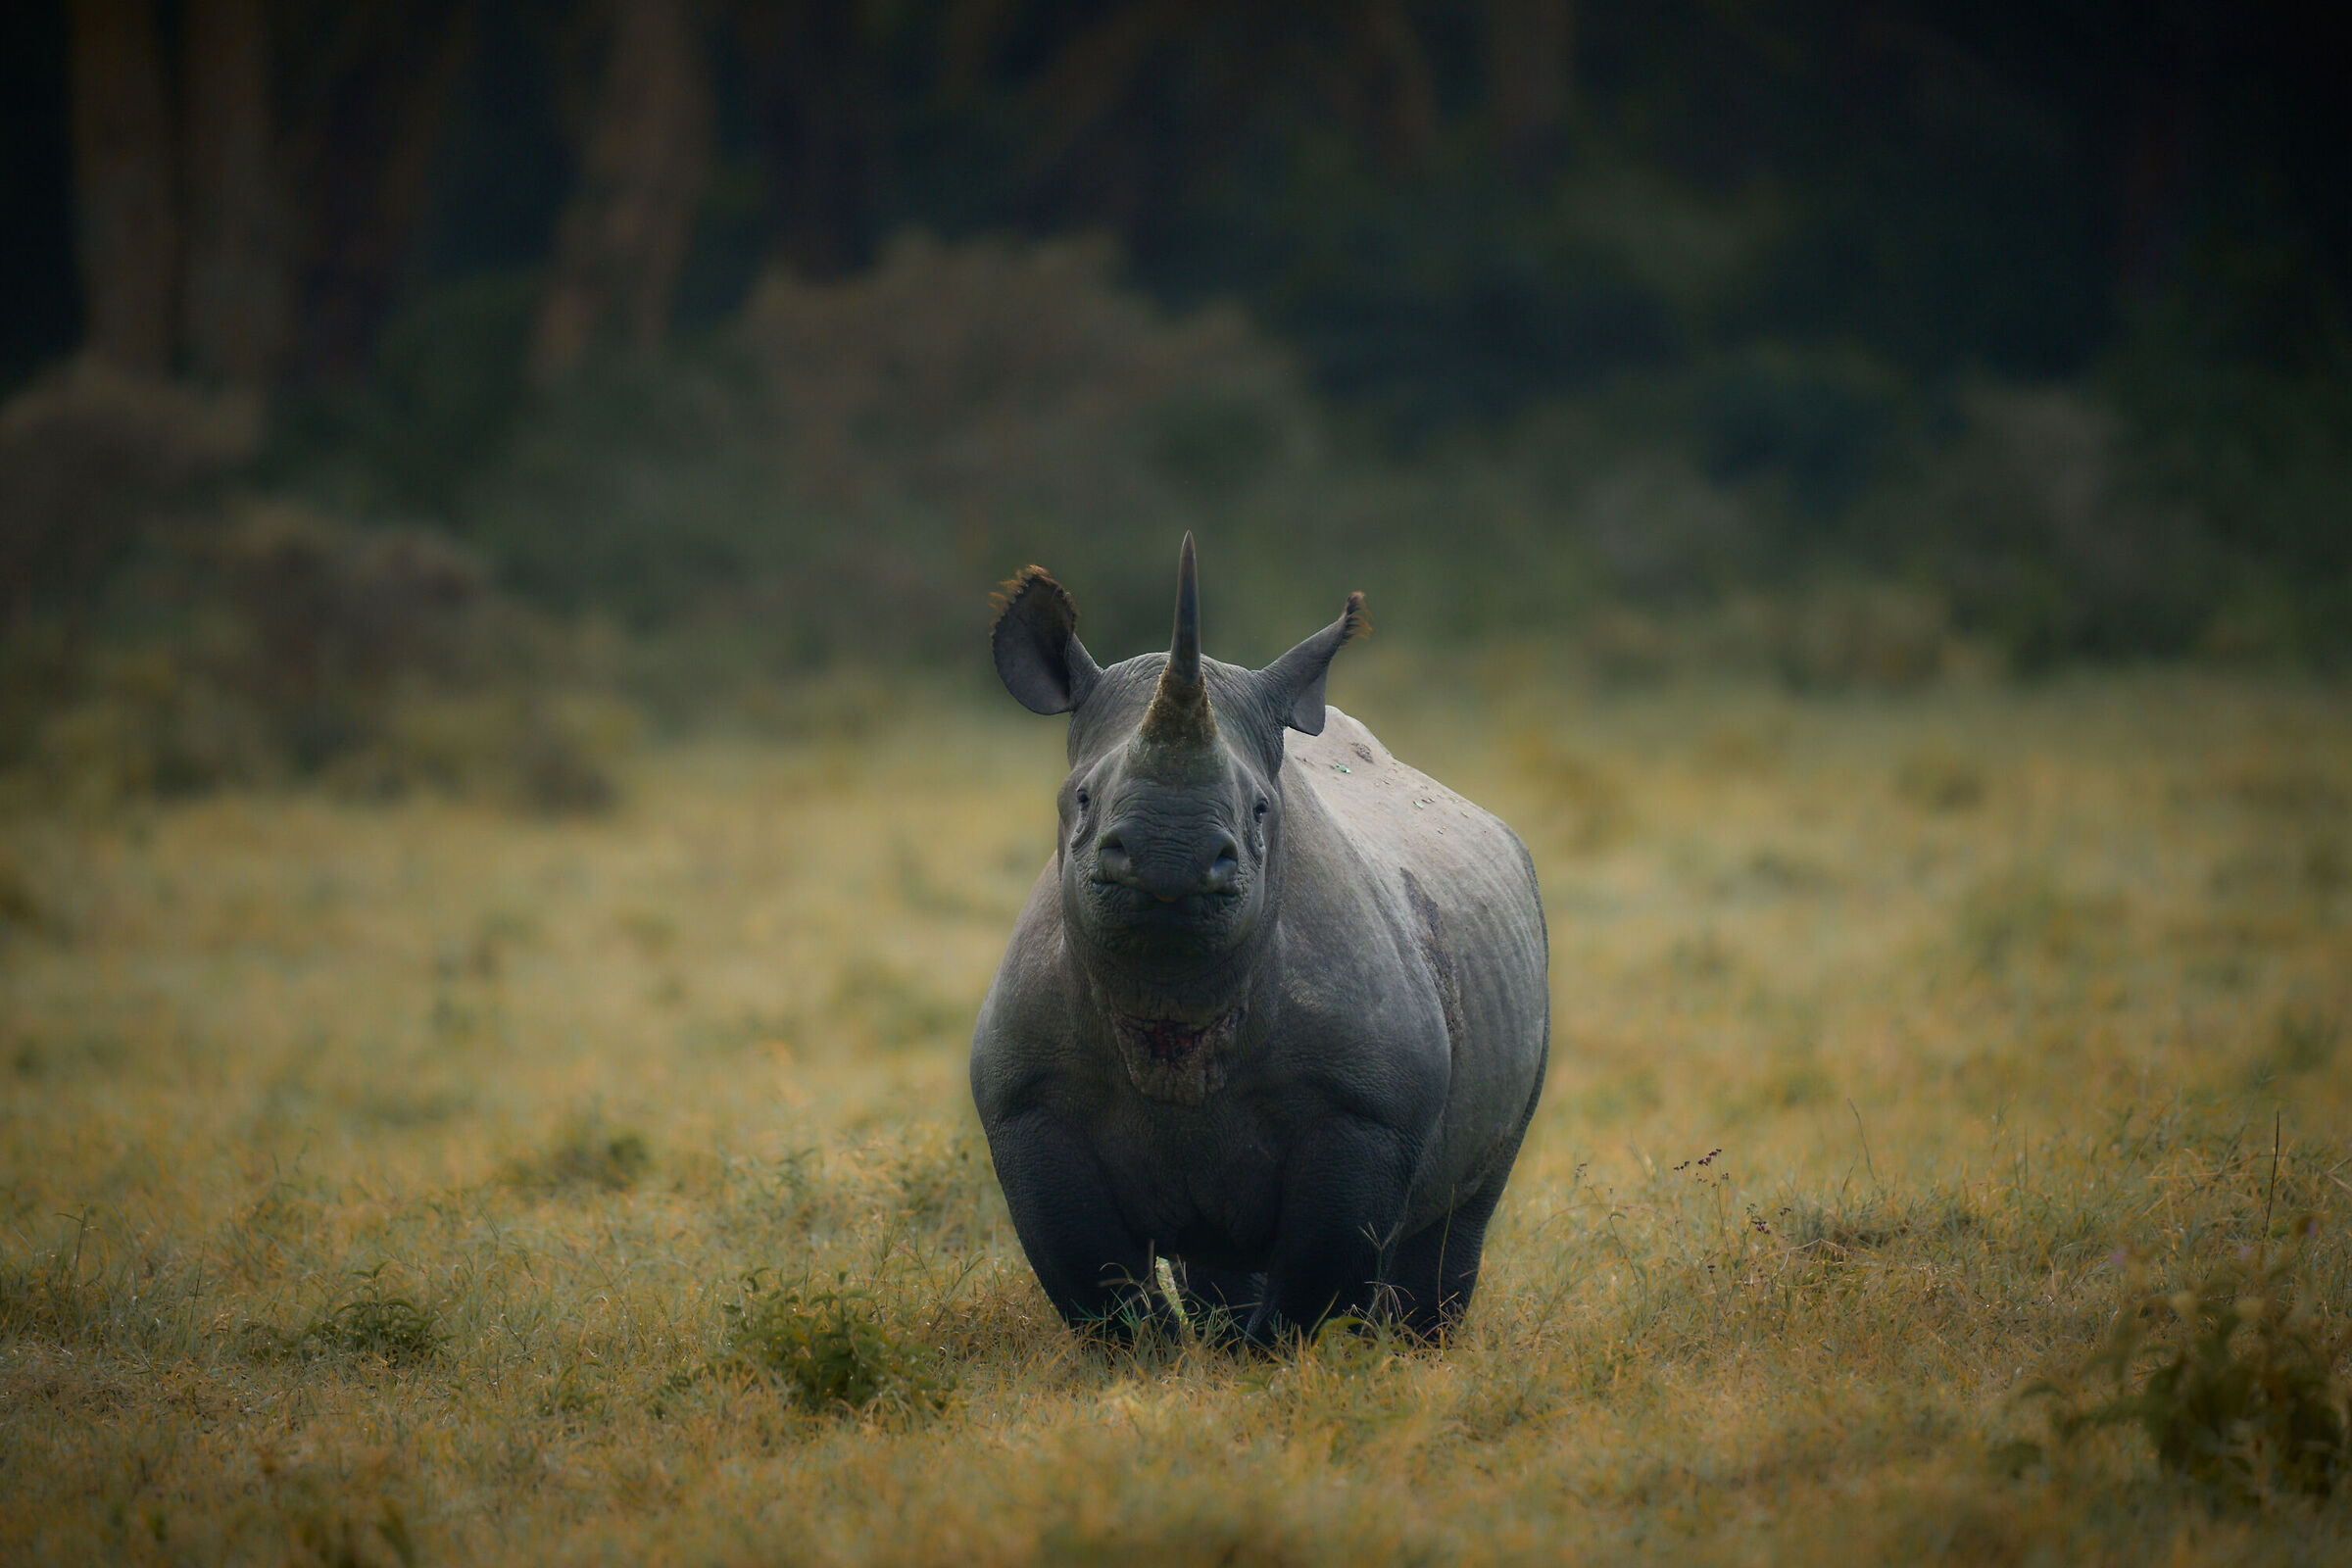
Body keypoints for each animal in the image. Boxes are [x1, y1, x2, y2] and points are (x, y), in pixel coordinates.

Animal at [971, 535, 1548, 1345]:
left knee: (1460, 1213)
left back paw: (1419, 1348)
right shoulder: (1027, 1106)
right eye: (1081, 798)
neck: (1171, 994)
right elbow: (1103, 1293)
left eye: (1260, 809)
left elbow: (1314, 1288)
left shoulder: (1365, 1111)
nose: (1169, 857)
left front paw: (1279, 1362)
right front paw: (1163, 1364)